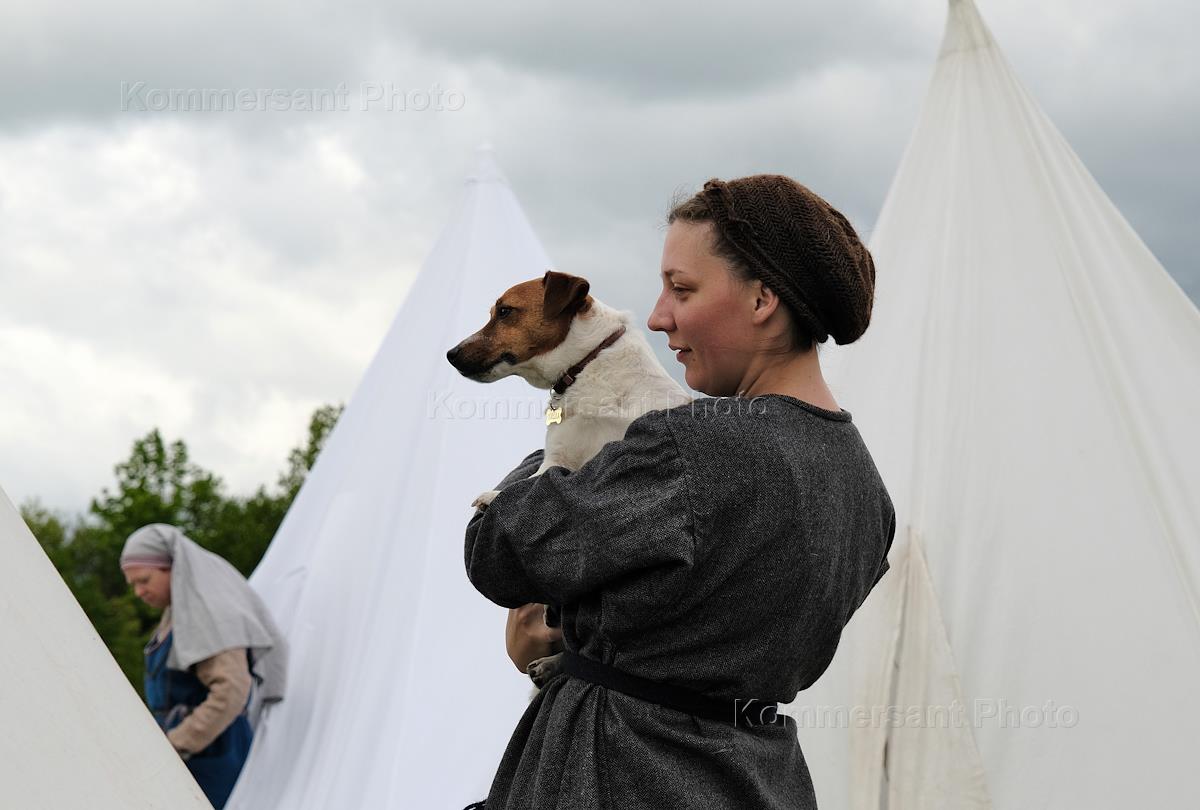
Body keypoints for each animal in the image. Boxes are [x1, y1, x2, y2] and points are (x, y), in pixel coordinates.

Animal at [446, 269, 692, 686]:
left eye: (505, 311)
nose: (450, 354)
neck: (586, 365)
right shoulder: (557, 455)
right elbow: (533, 477)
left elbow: (527, 485)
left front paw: (491, 497)